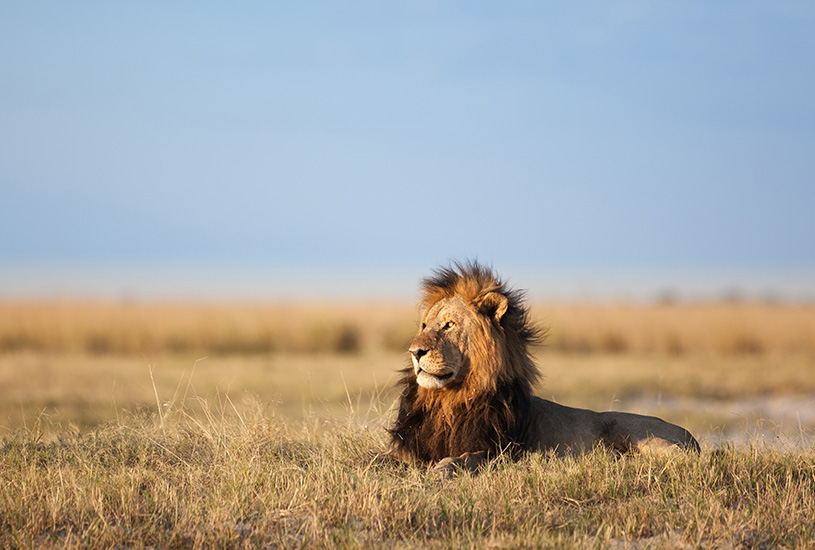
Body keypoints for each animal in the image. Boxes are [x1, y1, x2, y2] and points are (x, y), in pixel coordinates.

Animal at [388, 260, 700, 476]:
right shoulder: (410, 449)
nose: (415, 352)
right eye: (424, 326)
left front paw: (444, 468)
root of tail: (692, 436)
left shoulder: (501, 452)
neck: (449, 400)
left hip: (640, 434)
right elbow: (382, 457)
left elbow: (466, 458)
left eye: (449, 325)